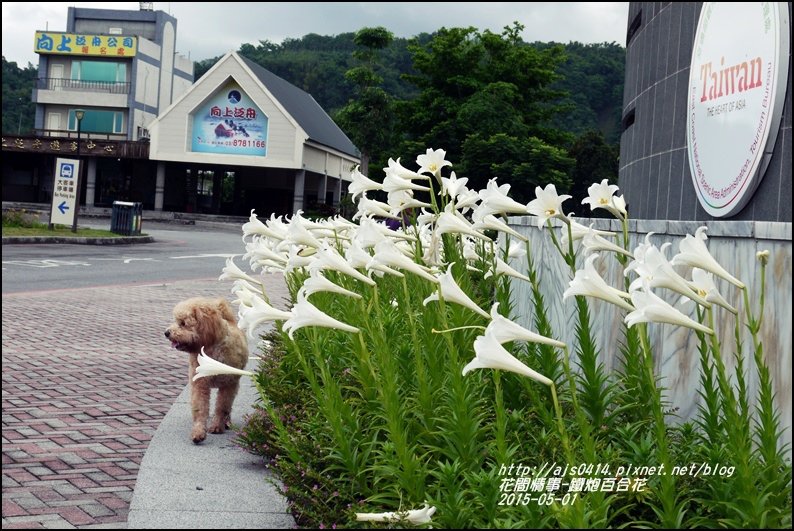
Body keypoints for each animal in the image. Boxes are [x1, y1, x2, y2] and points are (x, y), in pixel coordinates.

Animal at [167, 300, 251, 444]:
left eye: (183, 323)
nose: (166, 333)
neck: (210, 350)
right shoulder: (200, 384)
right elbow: (200, 408)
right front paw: (198, 432)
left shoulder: (227, 385)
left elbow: (222, 407)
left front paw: (217, 426)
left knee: (228, 406)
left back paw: (226, 422)